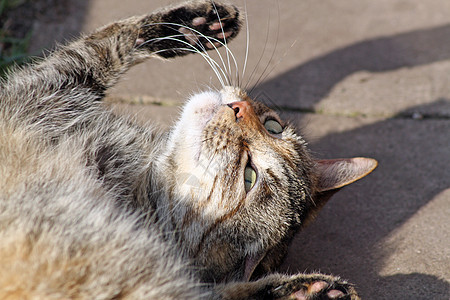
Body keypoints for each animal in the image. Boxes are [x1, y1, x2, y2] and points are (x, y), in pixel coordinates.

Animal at [0, 1, 378, 298]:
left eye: (249, 175)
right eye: (273, 126)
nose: (239, 108)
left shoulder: (39, 88)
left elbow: (95, 48)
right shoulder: (50, 90)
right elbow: (107, 40)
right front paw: (191, 23)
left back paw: (305, 291)